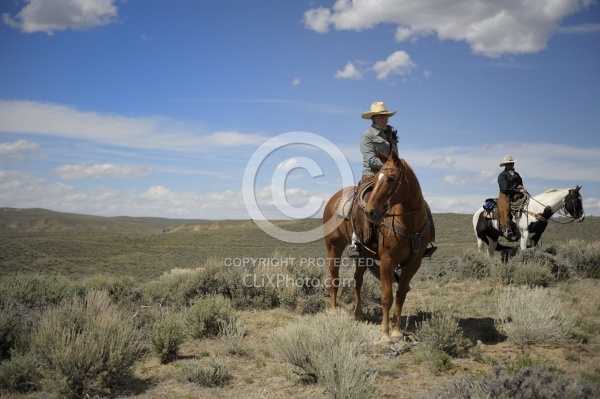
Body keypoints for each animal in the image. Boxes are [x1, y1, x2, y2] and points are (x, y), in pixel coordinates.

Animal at [324, 152, 432, 344]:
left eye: (391, 178)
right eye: (377, 179)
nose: (370, 212)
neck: (409, 222)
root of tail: (333, 199)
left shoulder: (414, 263)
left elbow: (401, 294)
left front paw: (396, 331)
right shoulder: (387, 261)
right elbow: (387, 297)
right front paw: (385, 334)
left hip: (363, 256)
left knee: (358, 280)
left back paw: (358, 314)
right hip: (333, 247)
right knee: (334, 278)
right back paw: (333, 311)